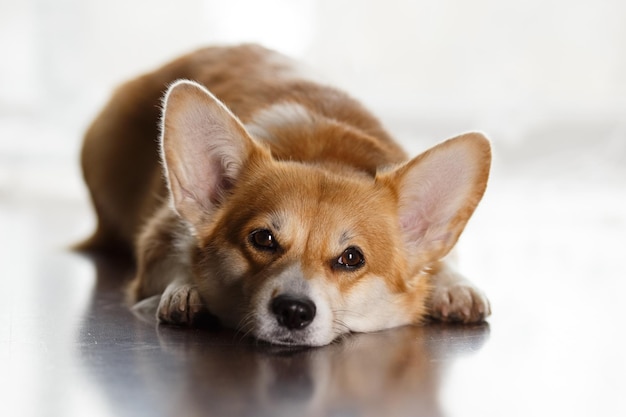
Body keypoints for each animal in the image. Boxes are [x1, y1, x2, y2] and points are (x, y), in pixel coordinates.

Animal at [79, 44, 488, 344]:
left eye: (351, 258)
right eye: (263, 238)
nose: (293, 311)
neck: (324, 155)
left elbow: (442, 263)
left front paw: (454, 288)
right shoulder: (160, 235)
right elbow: (175, 260)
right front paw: (187, 290)